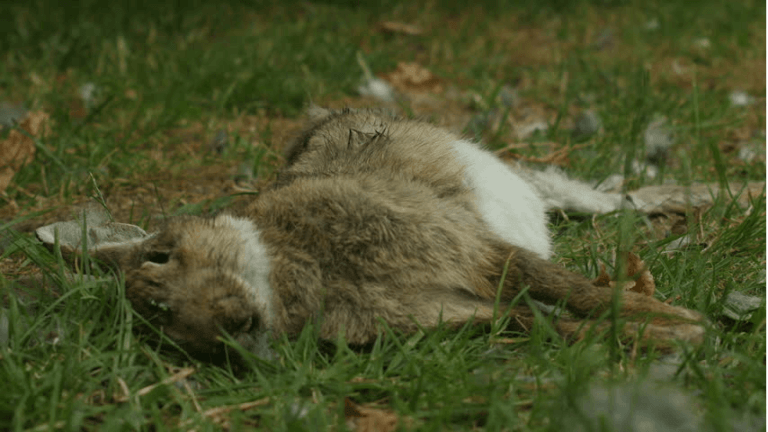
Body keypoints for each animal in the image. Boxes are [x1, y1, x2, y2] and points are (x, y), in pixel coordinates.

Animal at [36, 107, 705, 359]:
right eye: (166, 328)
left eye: (161, 255)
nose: (226, 324)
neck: (284, 268)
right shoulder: (456, 306)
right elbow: (542, 321)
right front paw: (664, 338)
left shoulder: (472, 250)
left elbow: (573, 293)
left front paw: (681, 325)